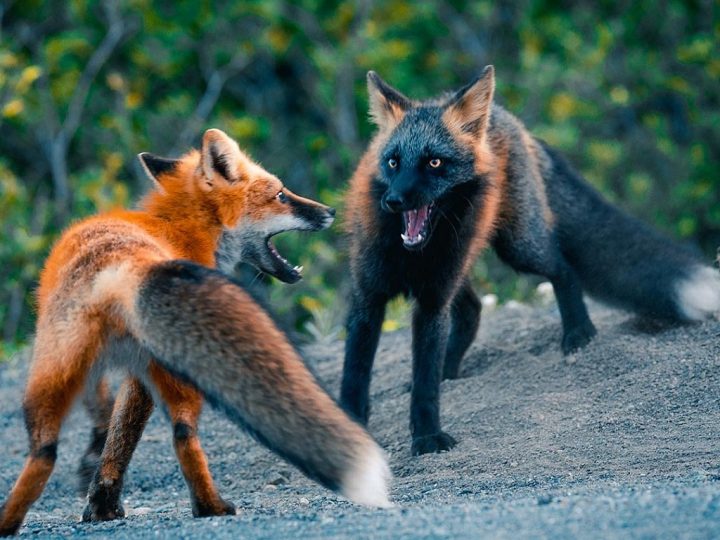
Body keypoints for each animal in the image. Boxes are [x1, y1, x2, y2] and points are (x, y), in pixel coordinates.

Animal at [0, 127, 390, 536]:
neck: (181, 232)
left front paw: (100, 500)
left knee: (44, 452)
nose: (330, 211)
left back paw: (9, 521)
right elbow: (126, 435)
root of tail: (118, 267)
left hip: (50, 375)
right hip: (178, 371)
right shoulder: (142, 376)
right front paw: (104, 501)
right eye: (281, 194)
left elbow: (113, 434)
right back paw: (210, 506)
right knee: (184, 434)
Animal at [338, 66, 720, 456]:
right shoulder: (369, 298)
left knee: (563, 269)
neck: (408, 256)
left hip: (518, 247)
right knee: (473, 310)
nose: (394, 200)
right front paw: (352, 426)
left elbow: (425, 384)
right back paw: (452, 371)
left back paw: (579, 333)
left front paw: (428, 437)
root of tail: (508, 118)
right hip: (467, 265)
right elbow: (355, 374)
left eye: (434, 162)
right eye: (393, 161)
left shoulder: (432, 302)